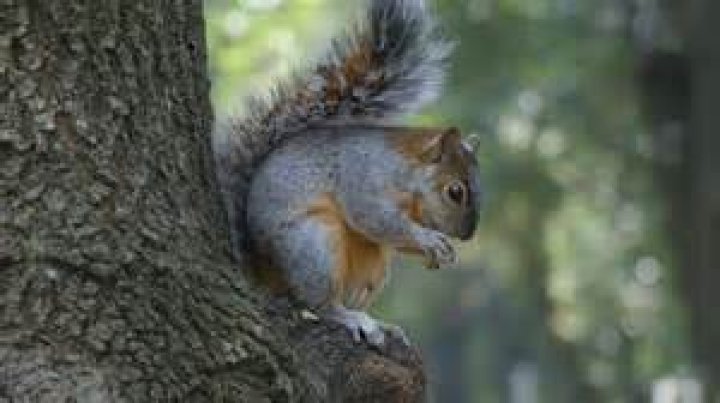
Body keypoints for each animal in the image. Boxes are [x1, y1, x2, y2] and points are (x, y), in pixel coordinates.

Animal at [213, 0, 481, 347]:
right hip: (314, 243)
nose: (467, 235)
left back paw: (378, 323)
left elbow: (388, 235)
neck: (408, 179)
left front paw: (440, 253)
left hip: (373, 267)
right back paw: (348, 318)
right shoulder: (362, 178)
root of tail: (261, 272)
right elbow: (374, 218)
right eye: (455, 192)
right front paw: (430, 240)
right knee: (317, 302)